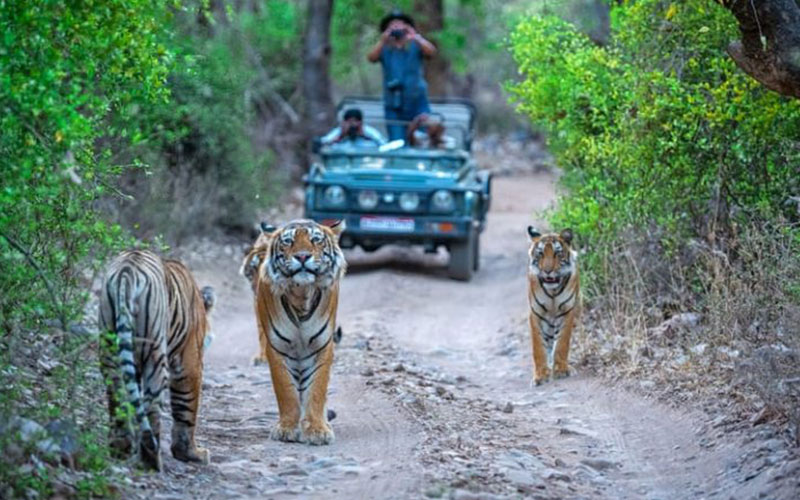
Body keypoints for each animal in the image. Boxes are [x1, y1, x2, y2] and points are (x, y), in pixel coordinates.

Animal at [99, 250, 215, 470]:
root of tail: (127, 271)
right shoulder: (189, 363)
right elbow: (186, 408)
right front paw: (191, 453)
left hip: (110, 349)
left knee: (118, 397)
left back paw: (121, 448)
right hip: (155, 354)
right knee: (151, 406)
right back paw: (151, 459)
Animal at [242, 219, 346, 445]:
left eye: (315, 240)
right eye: (288, 241)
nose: (303, 256)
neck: (301, 295)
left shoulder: (322, 346)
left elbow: (317, 389)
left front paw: (317, 430)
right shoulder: (278, 347)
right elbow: (286, 390)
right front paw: (287, 429)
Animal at [527, 227, 580, 386]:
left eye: (557, 253)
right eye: (540, 253)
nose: (547, 271)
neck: (552, 292)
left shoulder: (567, 312)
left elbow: (562, 343)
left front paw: (561, 370)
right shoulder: (536, 314)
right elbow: (538, 347)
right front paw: (540, 375)